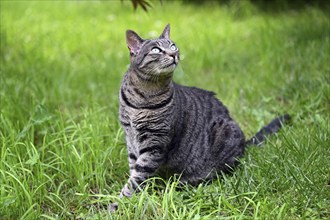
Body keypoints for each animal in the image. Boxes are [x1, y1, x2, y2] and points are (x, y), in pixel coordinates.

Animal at [110, 23, 288, 210]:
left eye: (173, 46)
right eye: (156, 50)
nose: (174, 54)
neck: (143, 96)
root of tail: (244, 144)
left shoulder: (155, 144)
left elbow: (135, 178)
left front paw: (119, 203)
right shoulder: (131, 139)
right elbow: (134, 171)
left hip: (225, 135)